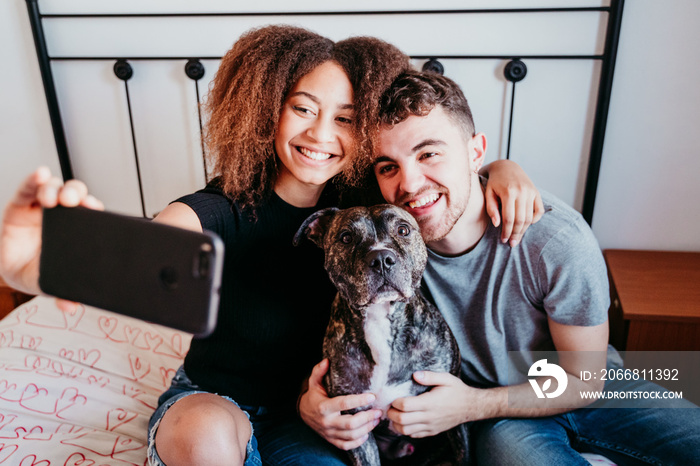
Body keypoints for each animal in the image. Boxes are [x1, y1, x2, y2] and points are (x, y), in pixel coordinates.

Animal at [292, 205, 468, 466]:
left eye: (403, 230)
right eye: (346, 237)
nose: (381, 258)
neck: (381, 319)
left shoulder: (451, 408)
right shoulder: (354, 424)